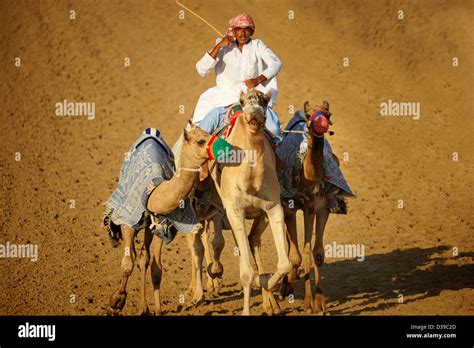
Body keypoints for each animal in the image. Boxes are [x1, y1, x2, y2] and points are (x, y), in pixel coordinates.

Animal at [208, 90, 290, 316]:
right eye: (244, 101)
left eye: (265, 100)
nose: (254, 113)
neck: (251, 182)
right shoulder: (235, 210)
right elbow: (245, 271)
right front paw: (247, 309)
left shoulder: (273, 208)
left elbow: (285, 264)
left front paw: (266, 285)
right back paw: (208, 281)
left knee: (251, 240)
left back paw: (269, 300)